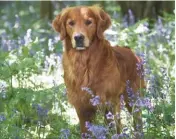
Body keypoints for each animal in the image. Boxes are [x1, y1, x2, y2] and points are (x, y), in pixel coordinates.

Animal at [52, 5, 146, 137]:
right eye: (71, 23)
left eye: (88, 22)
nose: (78, 37)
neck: (84, 64)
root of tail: (131, 51)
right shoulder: (82, 107)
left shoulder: (109, 102)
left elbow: (112, 130)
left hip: (132, 98)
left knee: (137, 123)